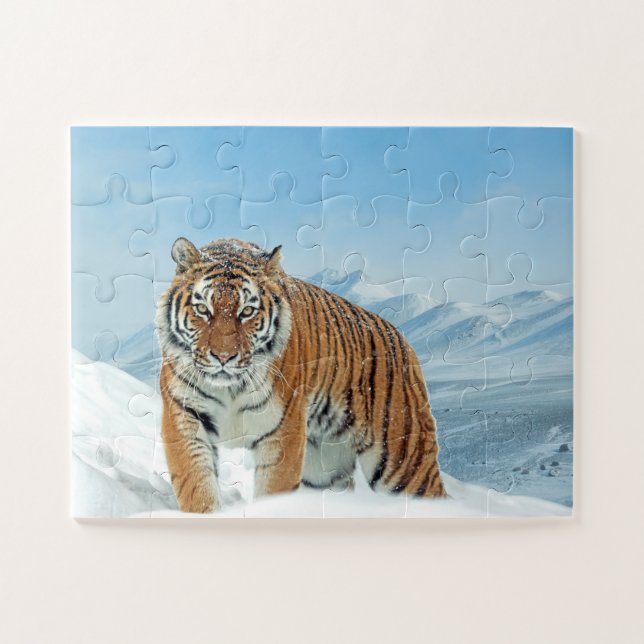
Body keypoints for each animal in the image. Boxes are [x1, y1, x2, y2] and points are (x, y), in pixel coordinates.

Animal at [156, 237, 445, 513]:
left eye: (247, 312)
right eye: (203, 310)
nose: (224, 357)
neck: (230, 388)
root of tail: (402, 339)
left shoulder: (282, 432)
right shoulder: (183, 416)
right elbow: (196, 486)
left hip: (404, 462)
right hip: (324, 469)